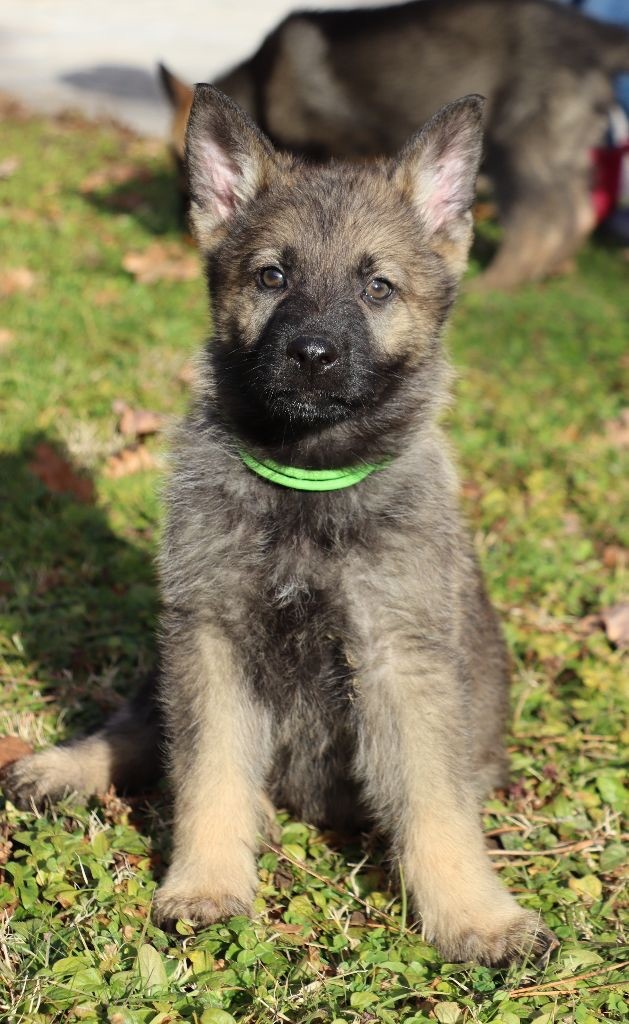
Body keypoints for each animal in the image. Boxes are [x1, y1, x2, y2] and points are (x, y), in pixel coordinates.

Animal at [2, 83, 561, 962]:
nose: (311, 354)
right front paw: (205, 881)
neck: (309, 475)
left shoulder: (401, 659)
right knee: (141, 727)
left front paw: (474, 916)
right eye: (271, 277)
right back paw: (67, 766)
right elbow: (208, 774)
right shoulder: (210, 638)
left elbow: (434, 803)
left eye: (377, 288)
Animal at [159, 0, 629, 290]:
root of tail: (591, 36)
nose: (181, 225)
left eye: (180, 160)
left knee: (542, 220)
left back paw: (498, 283)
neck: (260, 81)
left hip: (518, 146)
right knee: (578, 210)